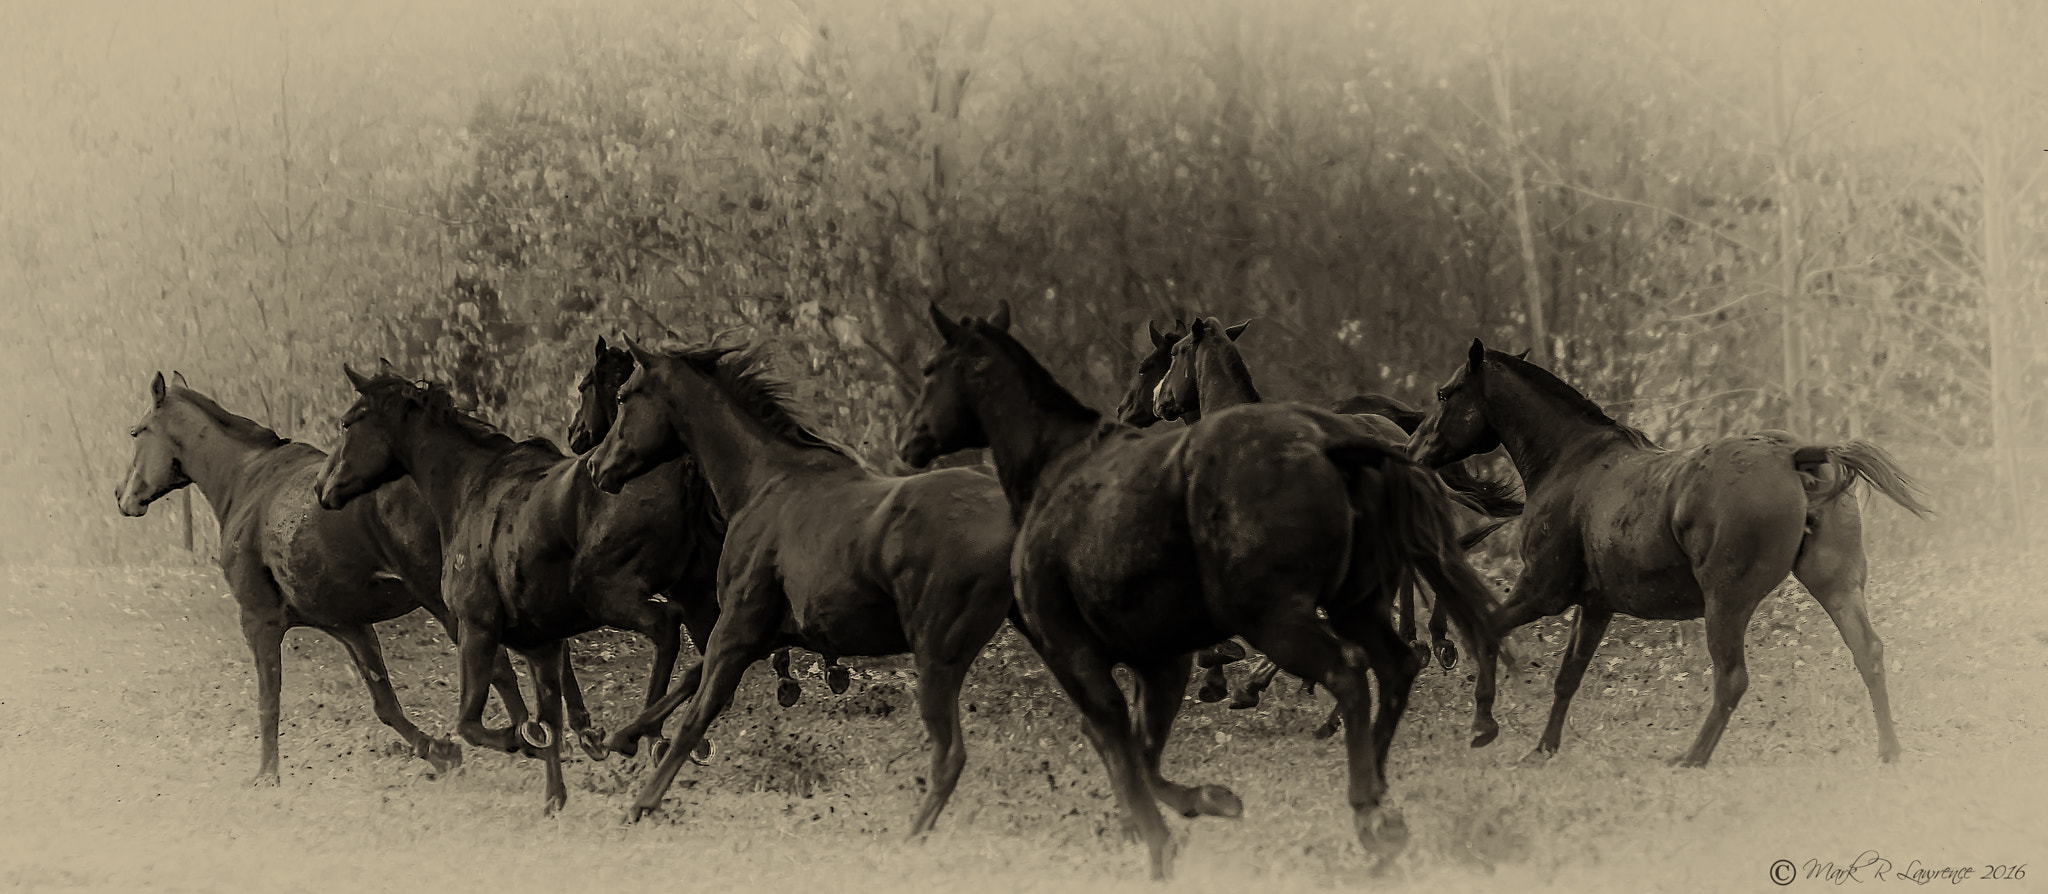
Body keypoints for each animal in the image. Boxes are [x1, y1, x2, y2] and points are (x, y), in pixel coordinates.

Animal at [116, 371, 529, 785]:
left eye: (137, 432)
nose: (122, 495)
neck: (246, 481)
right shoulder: (348, 625)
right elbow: (385, 703)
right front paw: (441, 753)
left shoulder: (259, 622)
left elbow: (269, 700)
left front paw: (267, 775)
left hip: (447, 606)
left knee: (499, 668)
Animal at [315, 363, 720, 812]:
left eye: (348, 423)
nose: (321, 487)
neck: (470, 488)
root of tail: (683, 470)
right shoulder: (541, 645)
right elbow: (551, 717)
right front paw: (554, 798)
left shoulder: (477, 629)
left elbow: (471, 723)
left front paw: (521, 740)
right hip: (699, 597)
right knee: (711, 659)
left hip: (612, 595)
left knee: (667, 629)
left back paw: (639, 733)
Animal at [898, 301, 1503, 878]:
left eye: (1157, 362)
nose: (1137, 407)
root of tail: (1371, 437)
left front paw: (1225, 679)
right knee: (1399, 628)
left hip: (1290, 603)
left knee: (1364, 650)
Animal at [1412, 339, 1931, 766]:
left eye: (1445, 394)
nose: (1413, 450)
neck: (1572, 465)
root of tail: (1793, 456)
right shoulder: (1593, 606)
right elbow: (1568, 676)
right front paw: (1542, 750)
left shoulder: (1542, 592)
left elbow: (1488, 631)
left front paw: (1483, 726)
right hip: (1834, 585)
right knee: (1868, 652)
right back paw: (1889, 750)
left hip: (1726, 603)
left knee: (1732, 678)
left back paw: (1692, 757)